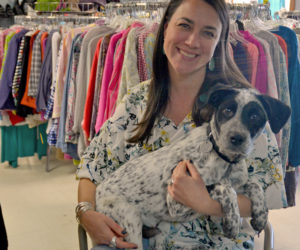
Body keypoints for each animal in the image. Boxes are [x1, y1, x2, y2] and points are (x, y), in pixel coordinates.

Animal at [95, 85, 290, 249]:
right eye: (227, 110)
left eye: (254, 116)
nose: (236, 138)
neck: (224, 159)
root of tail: (99, 190)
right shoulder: (177, 200)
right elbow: (224, 188)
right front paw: (233, 221)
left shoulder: (238, 184)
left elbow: (254, 186)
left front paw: (261, 214)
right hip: (131, 220)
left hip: (157, 230)